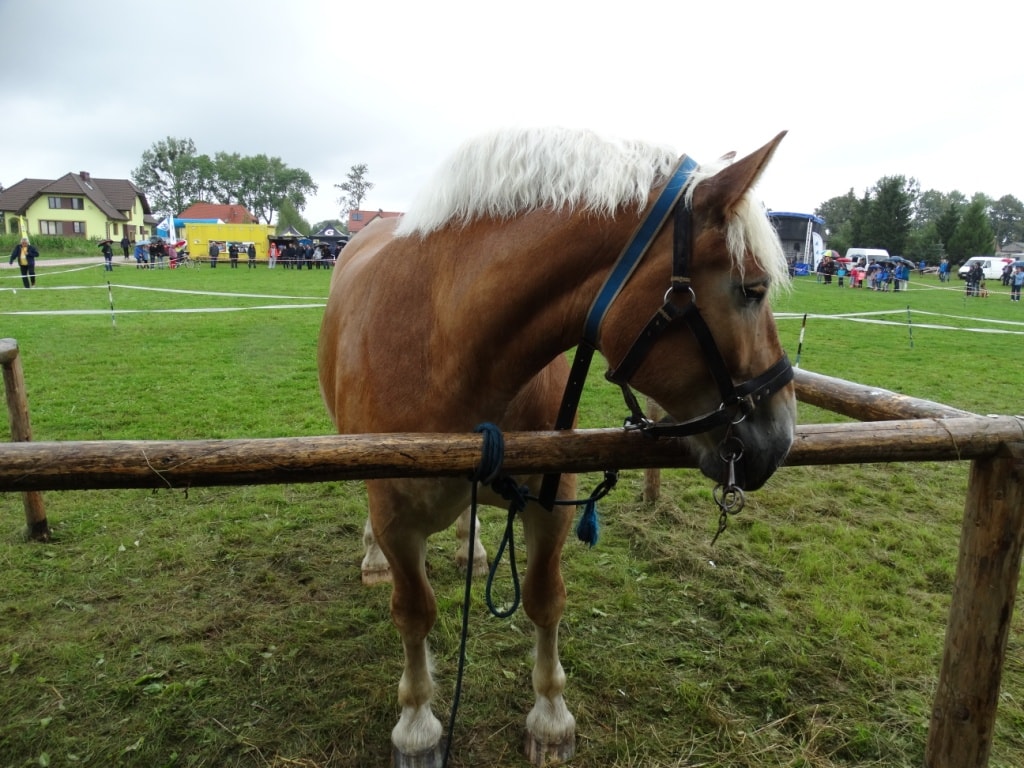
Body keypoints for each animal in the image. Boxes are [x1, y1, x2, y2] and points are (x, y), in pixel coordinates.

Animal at [317, 126, 797, 767]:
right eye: (752, 289)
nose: (781, 437)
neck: (444, 346)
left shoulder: (550, 504)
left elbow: (546, 599)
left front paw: (550, 717)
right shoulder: (397, 518)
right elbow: (414, 612)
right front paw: (417, 724)